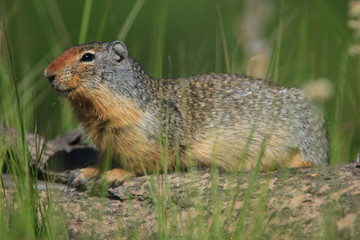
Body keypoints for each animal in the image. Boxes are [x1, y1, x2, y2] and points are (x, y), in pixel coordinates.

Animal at [43, 39, 330, 188]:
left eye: (87, 57)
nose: (47, 73)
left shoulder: (146, 135)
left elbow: (143, 163)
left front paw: (114, 175)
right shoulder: (107, 140)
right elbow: (103, 158)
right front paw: (84, 173)